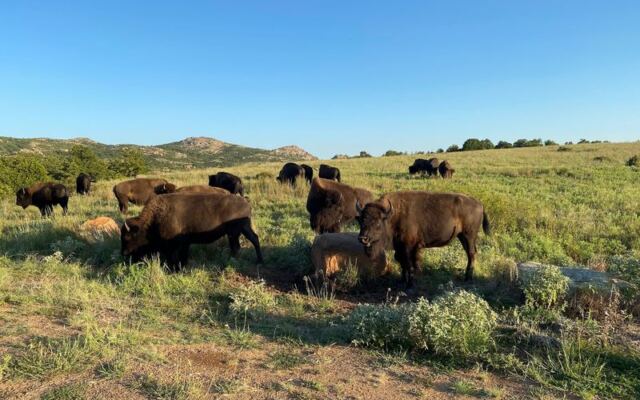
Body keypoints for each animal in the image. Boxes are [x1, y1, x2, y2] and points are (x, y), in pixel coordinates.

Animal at [121, 192, 263, 271]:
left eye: (127, 237)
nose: (124, 254)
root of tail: (245, 201)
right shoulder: (185, 243)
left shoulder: (176, 245)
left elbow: (175, 257)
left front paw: (175, 269)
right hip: (241, 230)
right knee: (249, 241)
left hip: (235, 231)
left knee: (240, 245)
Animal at [357, 191, 489, 288]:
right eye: (361, 221)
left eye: (377, 223)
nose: (363, 238)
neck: (393, 215)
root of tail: (480, 204)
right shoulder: (400, 247)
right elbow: (402, 262)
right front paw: (401, 281)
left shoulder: (408, 247)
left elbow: (409, 264)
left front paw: (410, 285)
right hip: (462, 236)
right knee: (470, 253)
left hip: (469, 235)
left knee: (471, 254)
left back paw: (468, 278)